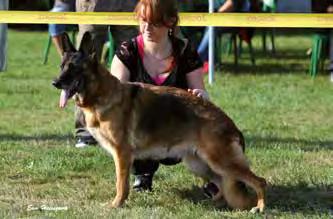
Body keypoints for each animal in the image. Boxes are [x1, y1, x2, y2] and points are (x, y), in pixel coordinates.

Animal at [53, 32, 266, 212]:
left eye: (73, 67)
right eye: (61, 66)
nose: (54, 83)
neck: (100, 94)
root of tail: (231, 125)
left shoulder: (122, 154)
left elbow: (121, 184)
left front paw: (117, 204)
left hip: (220, 162)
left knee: (259, 181)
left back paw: (259, 207)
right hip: (199, 163)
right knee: (222, 183)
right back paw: (215, 203)